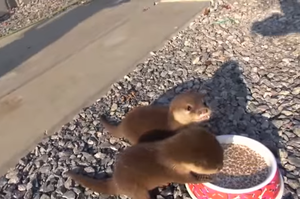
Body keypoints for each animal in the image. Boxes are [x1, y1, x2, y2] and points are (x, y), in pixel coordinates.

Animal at [66, 124, 225, 199]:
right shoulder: (174, 171)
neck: (169, 156)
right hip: (137, 190)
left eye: (222, 155)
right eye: (214, 166)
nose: (221, 166)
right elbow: (190, 179)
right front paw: (206, 178)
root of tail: (116, 182)